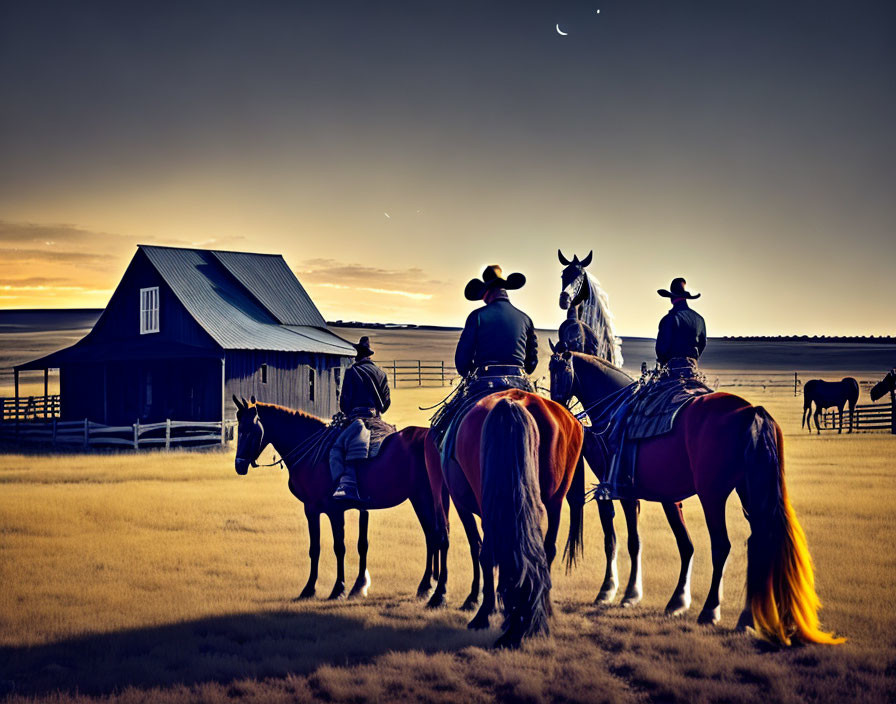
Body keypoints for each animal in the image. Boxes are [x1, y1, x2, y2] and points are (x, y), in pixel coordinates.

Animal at [426, 388, 584, 648]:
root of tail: (514, 401)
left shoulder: (460, 503)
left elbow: (476, 548)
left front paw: (470, 600)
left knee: (487, 551)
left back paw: (485, 615)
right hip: (556, 500)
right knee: (547, 549)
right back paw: (544, 609)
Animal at [544, 354, 848, 648]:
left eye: (557, 370)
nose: (557, 407)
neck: (613, 412)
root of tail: (753, 412)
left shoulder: (620, 490)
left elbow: (627, 540)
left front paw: (619, 593)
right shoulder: (667, 498)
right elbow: (684, 544)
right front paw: (677, 600)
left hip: (712, 495)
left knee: (722, 546)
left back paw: (711, 610)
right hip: (750, 492)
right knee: (757, 543)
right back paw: (745, 619)